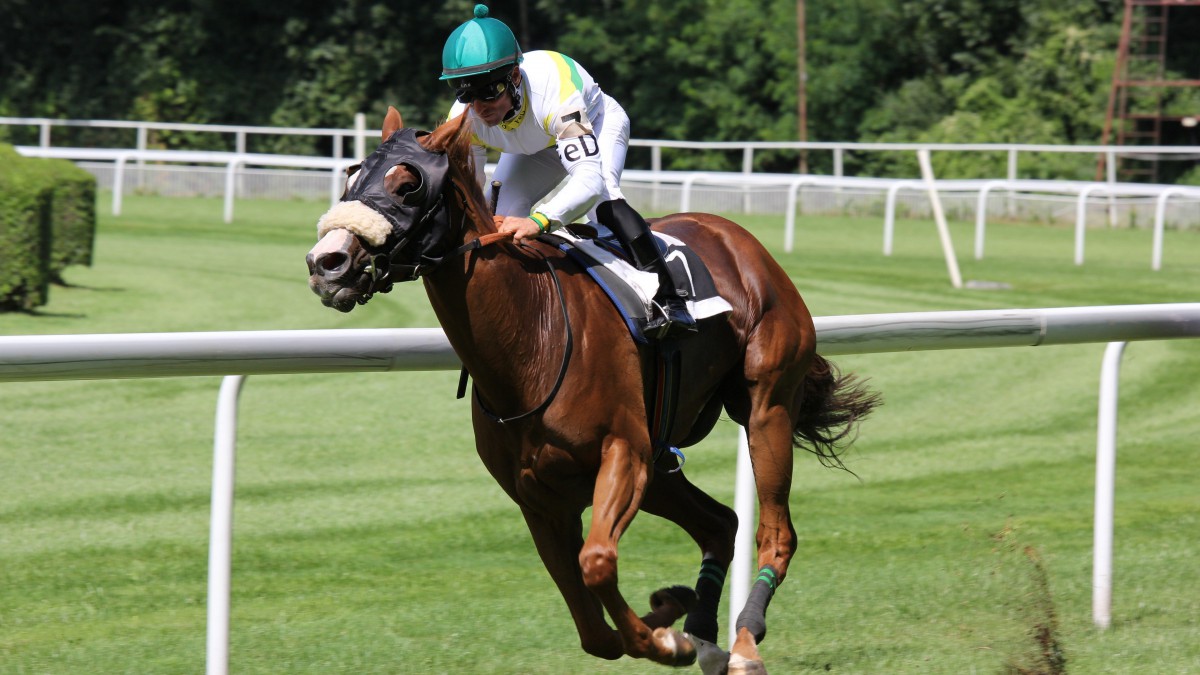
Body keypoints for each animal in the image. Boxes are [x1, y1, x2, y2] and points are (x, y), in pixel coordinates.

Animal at [306, 107, 879, 673]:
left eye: (408, 185)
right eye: (352, 177)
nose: (326, 263)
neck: (531, 339)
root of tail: (739, 238)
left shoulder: (623, 453)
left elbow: (598, 563)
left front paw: (667, 640)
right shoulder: (539, 498)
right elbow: (593, 629)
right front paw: (671, 618)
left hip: (765, 406)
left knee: (775, 532)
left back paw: (742, 644)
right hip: (662, 463)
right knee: (721, 523)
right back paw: (704, 634)